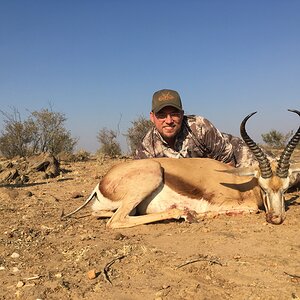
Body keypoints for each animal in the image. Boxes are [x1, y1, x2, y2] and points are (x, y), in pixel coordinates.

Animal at [61, 109, 300, 229]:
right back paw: (184, 214)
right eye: (263, 187)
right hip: (151, 176)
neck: (243, 185)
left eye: (286, 188)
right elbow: (248, 209)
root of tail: (100, 184)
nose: (276, 219)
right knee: (116, 221)